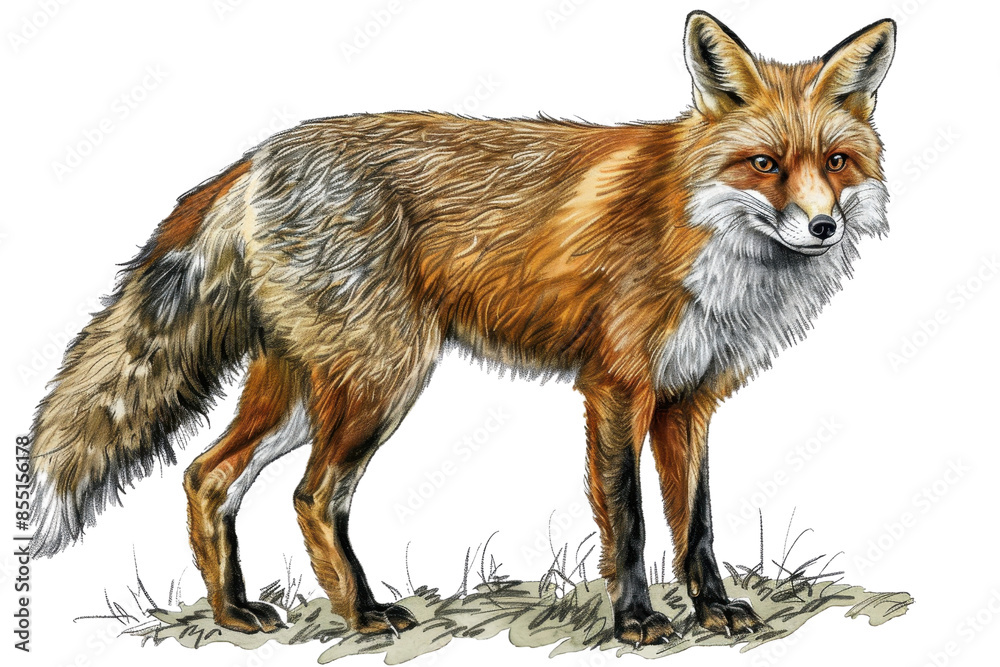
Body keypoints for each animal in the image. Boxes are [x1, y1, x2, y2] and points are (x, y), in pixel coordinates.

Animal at [28, 11, 894, 646]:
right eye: (766, 164)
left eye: (837, 162)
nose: (821, 227)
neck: (704, 234)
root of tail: (262, 154)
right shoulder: (617, 385)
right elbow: (630, 518)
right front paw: (637, 620)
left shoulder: (690, 400)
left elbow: (698, 522)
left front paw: (713, 610)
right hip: (381, 379)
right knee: (313, 495)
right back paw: (361, 613)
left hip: (308, 389)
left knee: (207, 475)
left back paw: (234, 613)